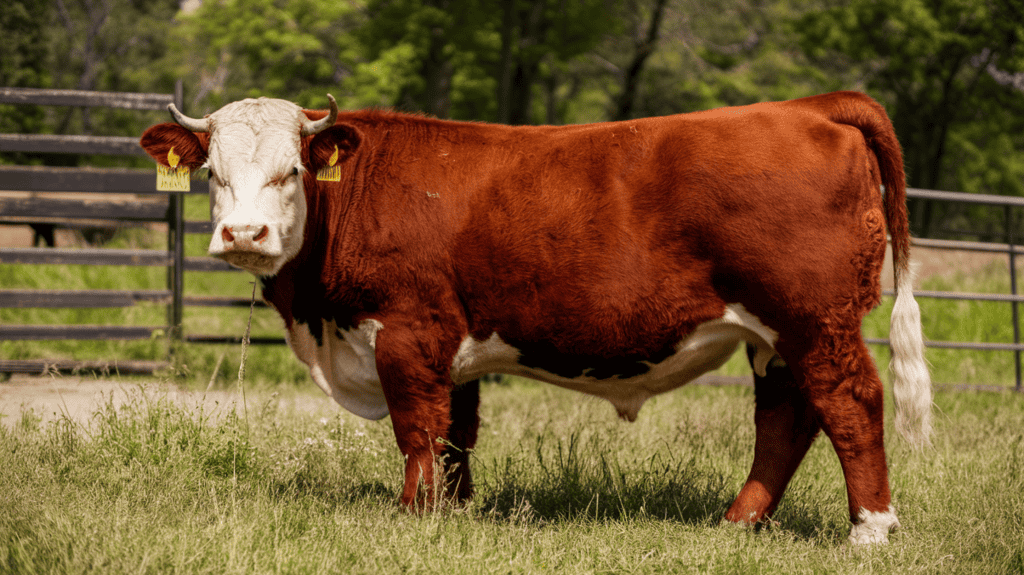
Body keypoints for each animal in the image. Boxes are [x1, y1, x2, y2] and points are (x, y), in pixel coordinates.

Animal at [140, 91, 932, 544]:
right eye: (212, 174)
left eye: (294, 171)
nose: (244, 234)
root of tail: (810, 105)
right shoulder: (451, 344)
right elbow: (455, 433)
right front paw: (454, 511)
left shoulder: (407, 334)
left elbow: (417, 428)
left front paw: (413, 515)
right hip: (777, 336)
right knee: (786, 419)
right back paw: (740, 523)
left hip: (814, 319)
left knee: (850, 403)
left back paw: (870, 530)